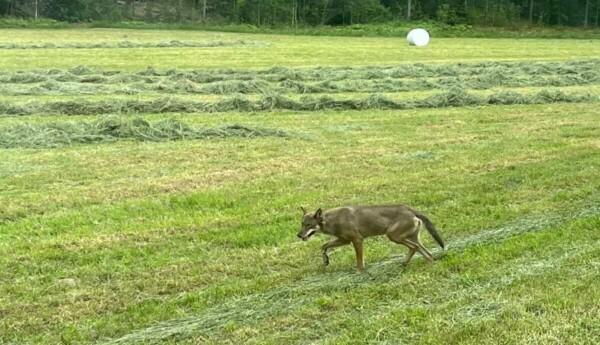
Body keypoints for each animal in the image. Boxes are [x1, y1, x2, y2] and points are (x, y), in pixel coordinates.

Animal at [296, 206, 446, 270]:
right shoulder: (344, 240)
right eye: (302, 224)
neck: (333, 220)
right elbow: (323, 246)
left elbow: (359, 261)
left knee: (415, 248)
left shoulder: (357, 240)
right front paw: (326, 260)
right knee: (425, 252)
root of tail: (410, 209)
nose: (298, 235)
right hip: (408, 238)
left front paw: (359, 272)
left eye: (308, 225)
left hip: (393, 236)